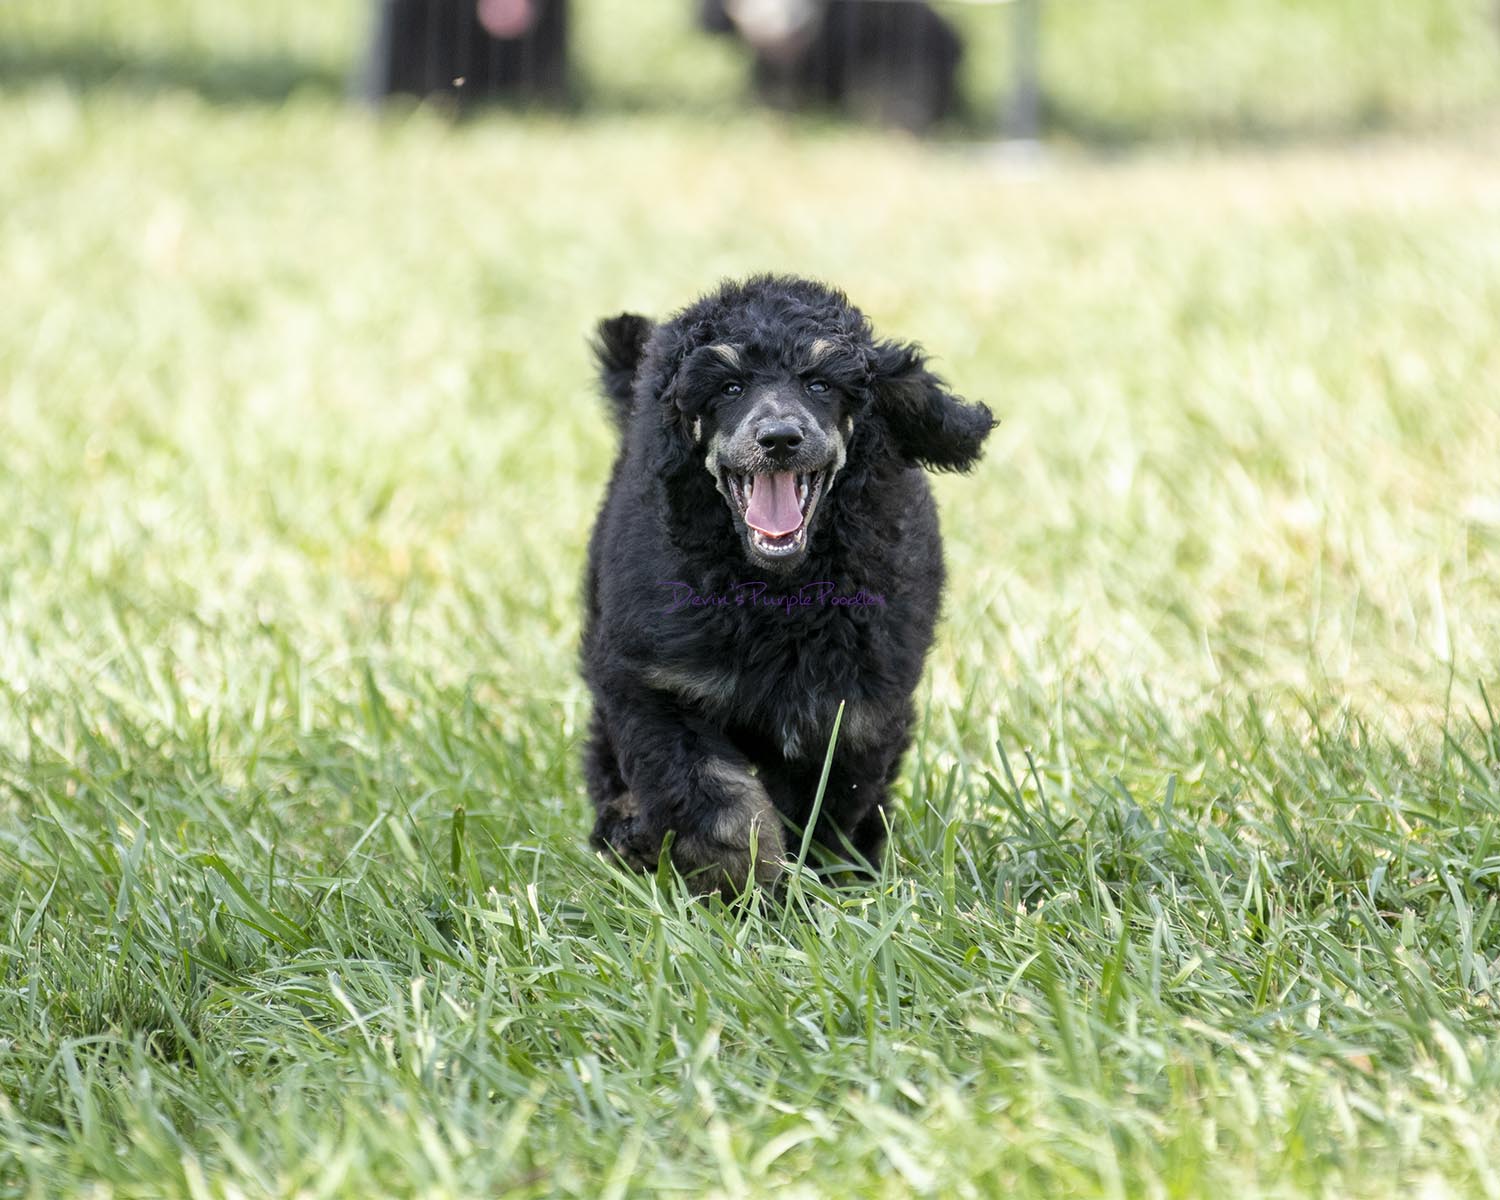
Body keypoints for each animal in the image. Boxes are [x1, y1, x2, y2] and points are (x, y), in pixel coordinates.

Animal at [580, 275, 993, 894]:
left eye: (820, 383)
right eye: (729, 386)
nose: (778, 438)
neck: (777, 594)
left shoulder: (854, 711)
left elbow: (822, 809)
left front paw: (809, 886)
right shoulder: (655, 686)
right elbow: (716, 803)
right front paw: (746, 884)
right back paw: (626, 829)